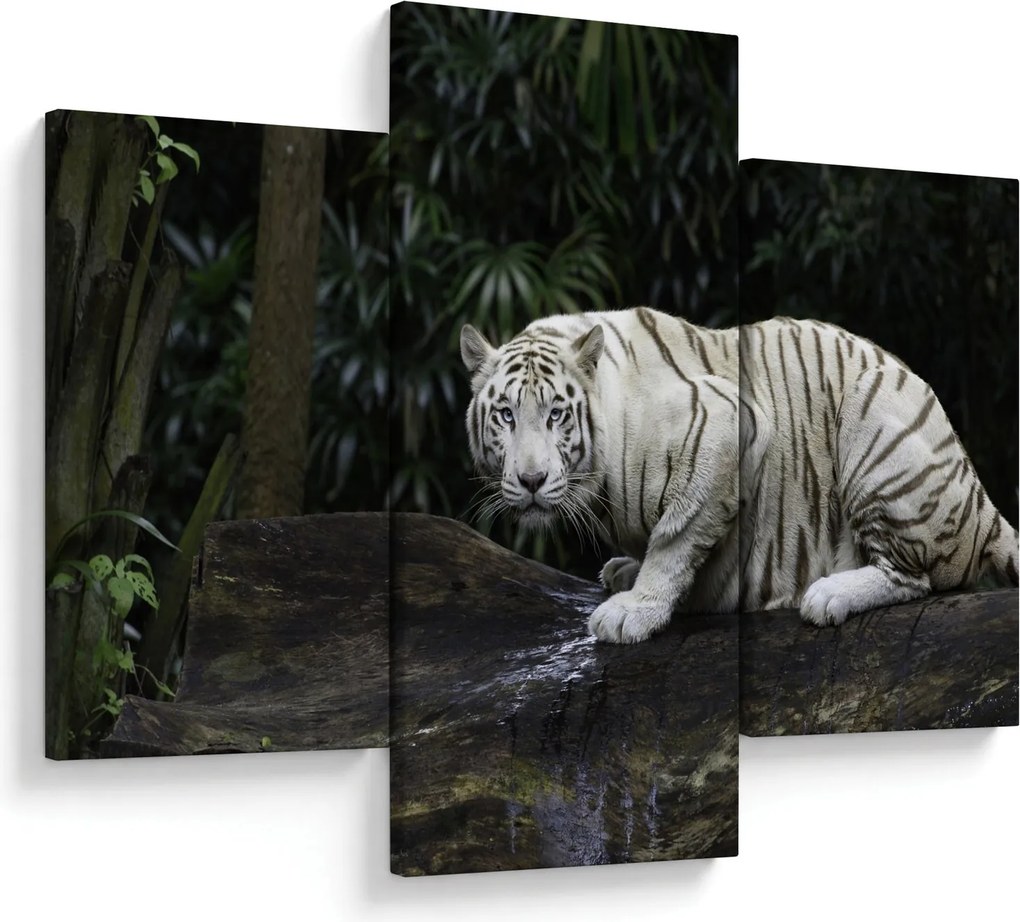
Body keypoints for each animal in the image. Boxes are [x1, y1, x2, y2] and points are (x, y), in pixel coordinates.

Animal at [460, 307, 1020, 643]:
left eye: (556, 414)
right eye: (505, 415)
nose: (531, 480)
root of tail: (980, 502)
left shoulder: (730, 426)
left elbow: (675, 537)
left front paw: (635, 609)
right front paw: (628, 573)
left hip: (872, 409)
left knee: (914, 577)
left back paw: (829, 595)